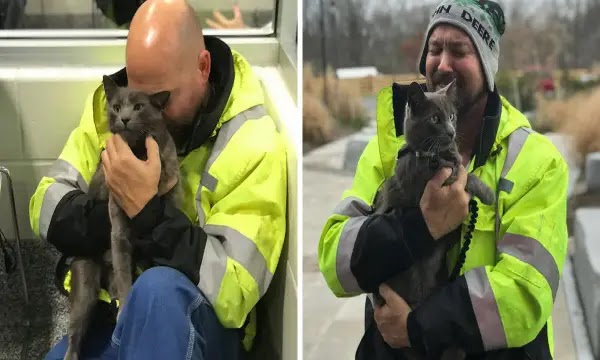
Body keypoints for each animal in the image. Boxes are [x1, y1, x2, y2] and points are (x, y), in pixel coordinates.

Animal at [63, 76, 180, 360]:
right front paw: (127, 304)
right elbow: (125, 270)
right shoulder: (117, 224)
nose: (124, 118)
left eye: (138, 107)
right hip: (85, 279)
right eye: (116, 106)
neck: (138, 152)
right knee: (76, 331)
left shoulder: (172, 187)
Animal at [372, 79, 494, 360]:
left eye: (452, 116)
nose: (450, 131)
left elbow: (462, 170)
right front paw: (487, 192)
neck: (431, 154)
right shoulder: (426, 183)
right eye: (435, 119)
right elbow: (462, 174)